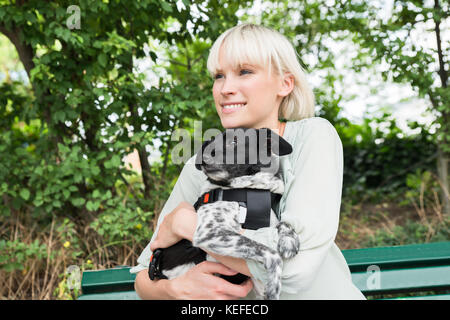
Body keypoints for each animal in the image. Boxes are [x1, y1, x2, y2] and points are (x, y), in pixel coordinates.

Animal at [149, 127, 300, 300]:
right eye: (208, 144)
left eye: (234, 141)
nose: (204, 158)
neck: (247, 190)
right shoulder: (210, 233)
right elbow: (270, 252)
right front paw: (274, 285)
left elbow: (284, 223)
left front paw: (289, 239)